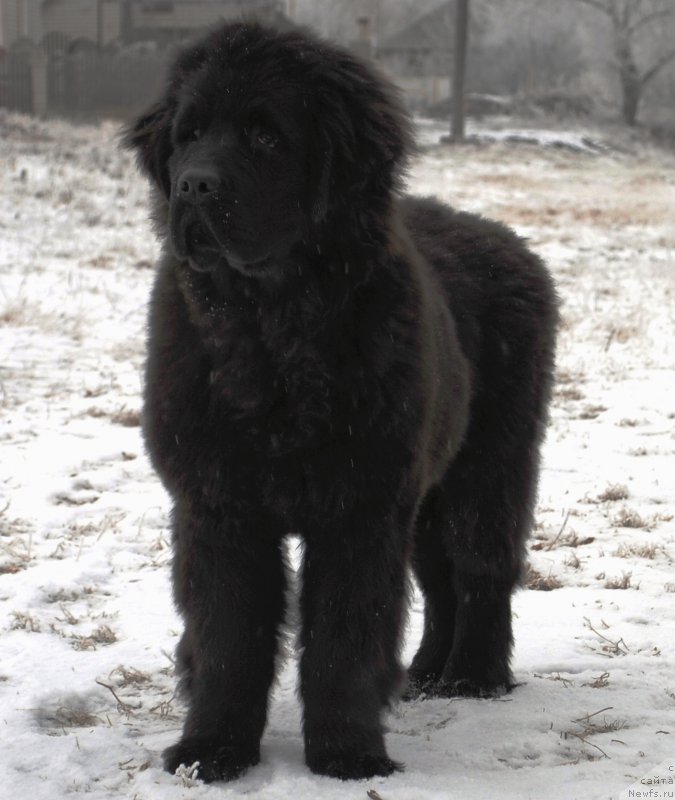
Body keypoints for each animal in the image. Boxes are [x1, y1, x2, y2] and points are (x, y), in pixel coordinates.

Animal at [125, 21, 560, 784]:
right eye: (189, 134)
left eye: (265, 135)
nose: (194, 185)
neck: (271, 333)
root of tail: (510, 242)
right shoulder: (219, 506)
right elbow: (228, 635)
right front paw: (212, 750)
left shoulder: (359, 506)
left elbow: (344, 635)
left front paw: (347, 753)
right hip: (428, 488)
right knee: (440, 580)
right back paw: (427, 672)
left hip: (488, 468)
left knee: (482, 571)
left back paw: (475, 676)